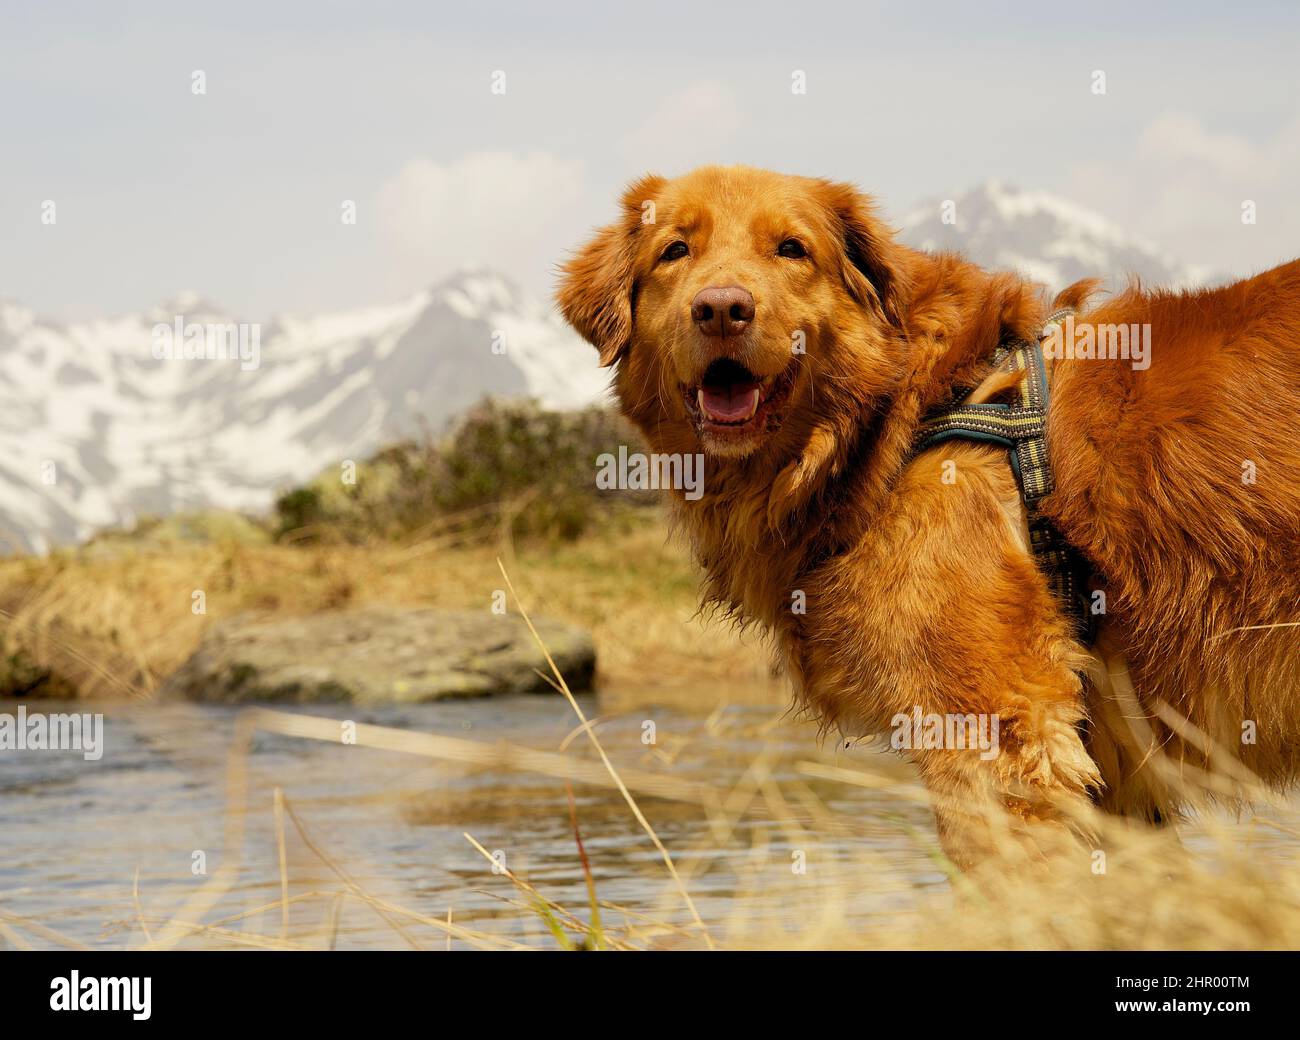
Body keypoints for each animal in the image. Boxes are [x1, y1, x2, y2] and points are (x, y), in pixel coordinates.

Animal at [559, 166, 1300, 863]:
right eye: (674, 250)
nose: (721, 309)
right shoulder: (1115, 783)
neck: (898, 419)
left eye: (792, 249)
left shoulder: (995, 738)